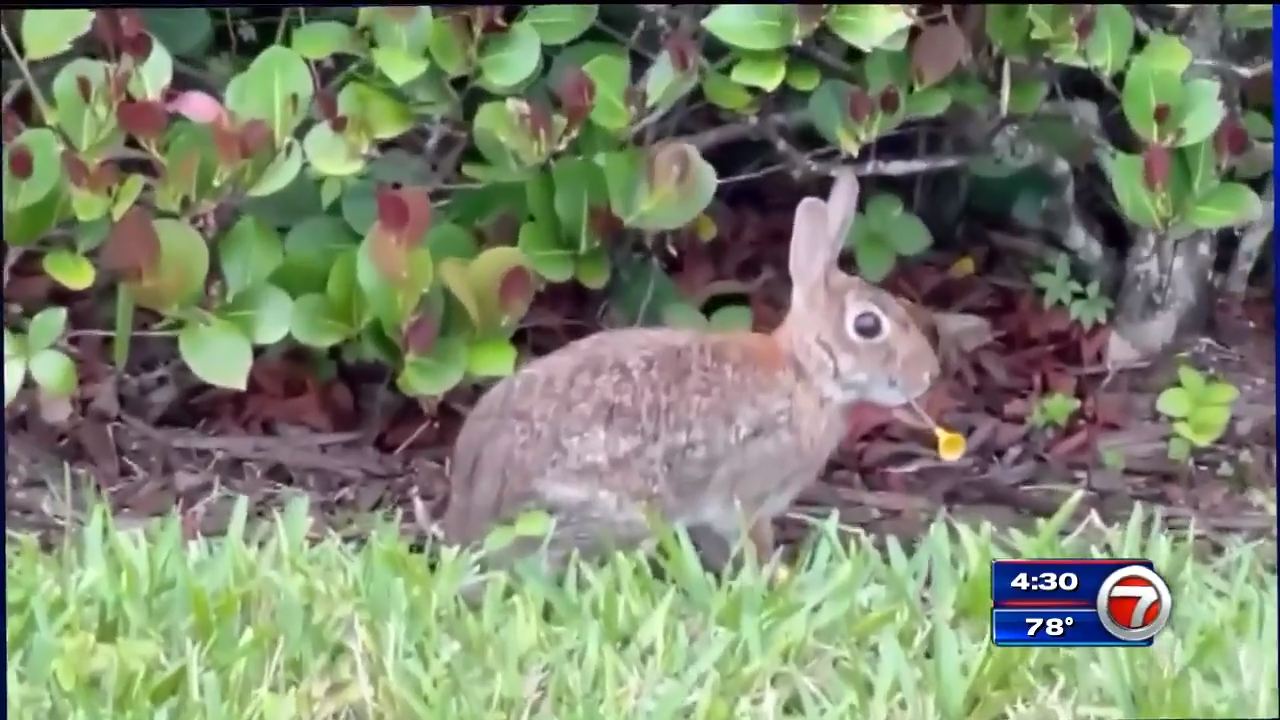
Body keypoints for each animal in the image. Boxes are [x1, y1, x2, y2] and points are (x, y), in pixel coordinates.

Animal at [440, 169, 942, 582]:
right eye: (867, 325)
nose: (929, 375)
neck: (805, 374)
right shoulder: (746, 496)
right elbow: (752, 542)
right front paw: (774, 580)